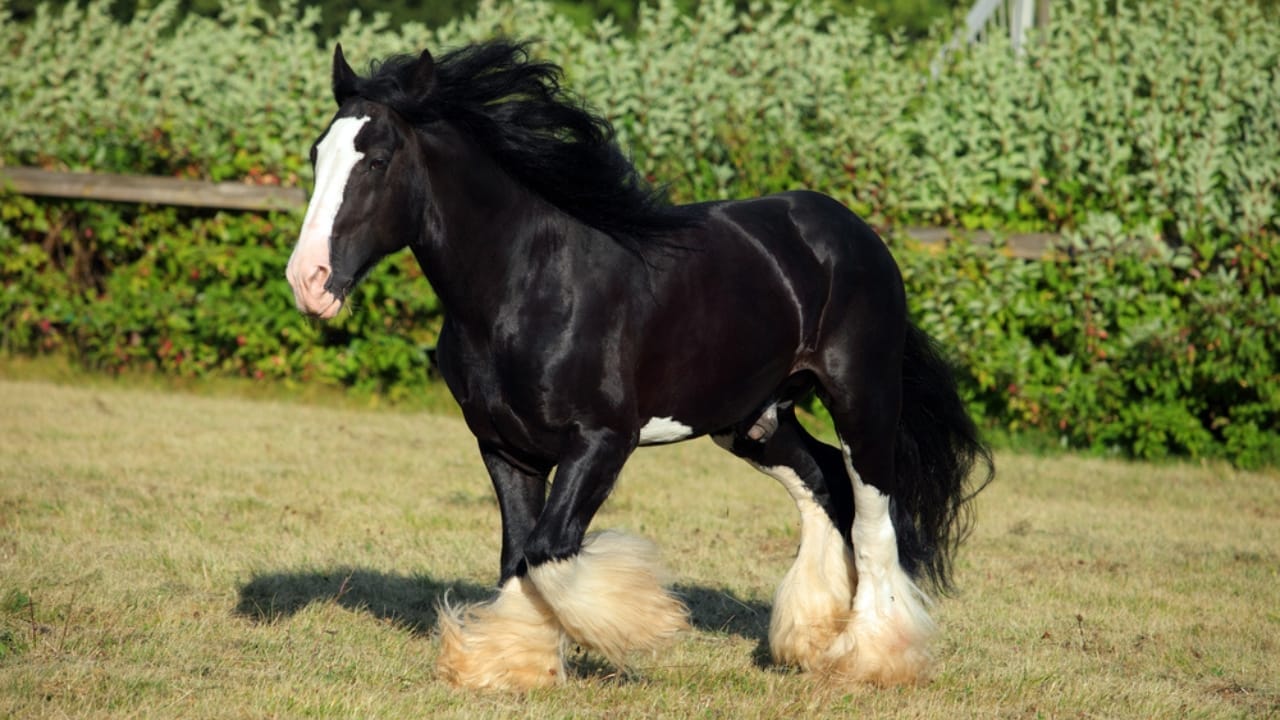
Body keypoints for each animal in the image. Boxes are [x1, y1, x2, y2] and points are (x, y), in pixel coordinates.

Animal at [286, 39, 993, 691]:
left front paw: (643, 622)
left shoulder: (602, 441)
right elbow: (518, 553)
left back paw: (873, 659)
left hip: (862, 400)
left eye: (377, 160)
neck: (527, 285)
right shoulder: (503, 448)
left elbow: (548, 552)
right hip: (753, 420)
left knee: (873, 520)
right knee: (822, 482)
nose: (308, 281)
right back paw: (810, 642)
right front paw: (510, 665)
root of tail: (854, 232)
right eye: (318, 154)